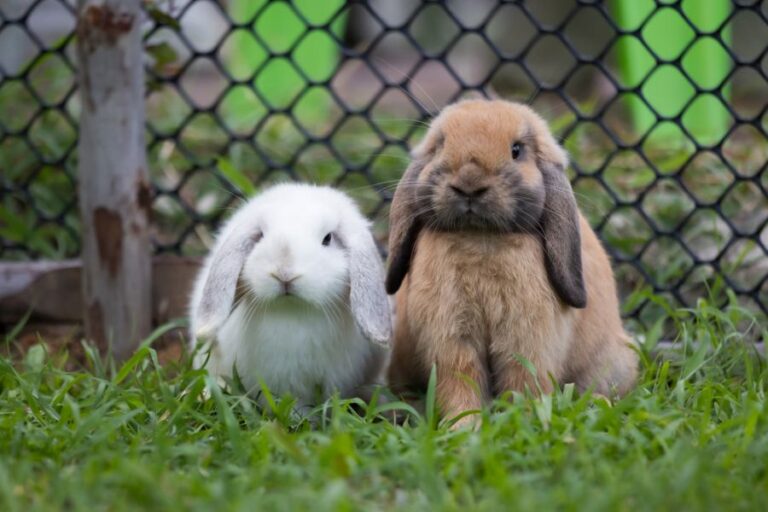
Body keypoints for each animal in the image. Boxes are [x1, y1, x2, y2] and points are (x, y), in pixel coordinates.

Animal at [385, 99, 638, 426]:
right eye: (441, 145)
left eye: (516, 150)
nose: (469, 184)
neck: (480, 238)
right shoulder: (452, 338)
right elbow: (460, 381)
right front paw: (465, 425)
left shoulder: (525, 341)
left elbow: (523, 381)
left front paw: (524, 420)